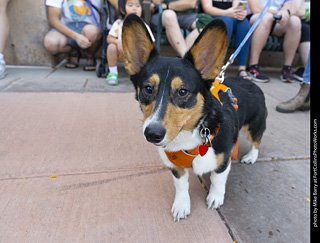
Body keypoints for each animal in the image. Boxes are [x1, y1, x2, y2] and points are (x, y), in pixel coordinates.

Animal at [122, 14, 268, 221]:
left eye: (183, 91)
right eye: (148, 89)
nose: (152, 134)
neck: (186, 137)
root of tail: (250, 82)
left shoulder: (223, 161)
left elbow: (217, 180)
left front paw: (215, 198)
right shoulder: (175, 167)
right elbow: (181, 186)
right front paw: (181, 206)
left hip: (254, 126)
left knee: (256, 140)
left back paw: (251, 156)